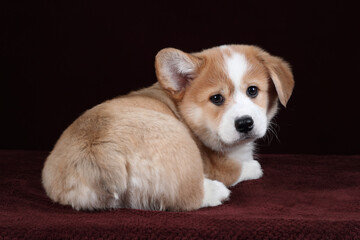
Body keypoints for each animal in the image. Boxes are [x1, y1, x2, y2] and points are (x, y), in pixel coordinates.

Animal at [43, 44, 296, 210]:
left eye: (253, 91)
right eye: (216, 98)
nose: (245, 123)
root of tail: (97, 152)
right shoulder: (220, 165)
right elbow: (240, 168)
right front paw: (253, 167)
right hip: (181, 143)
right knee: (189, 196)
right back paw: (216, 191)